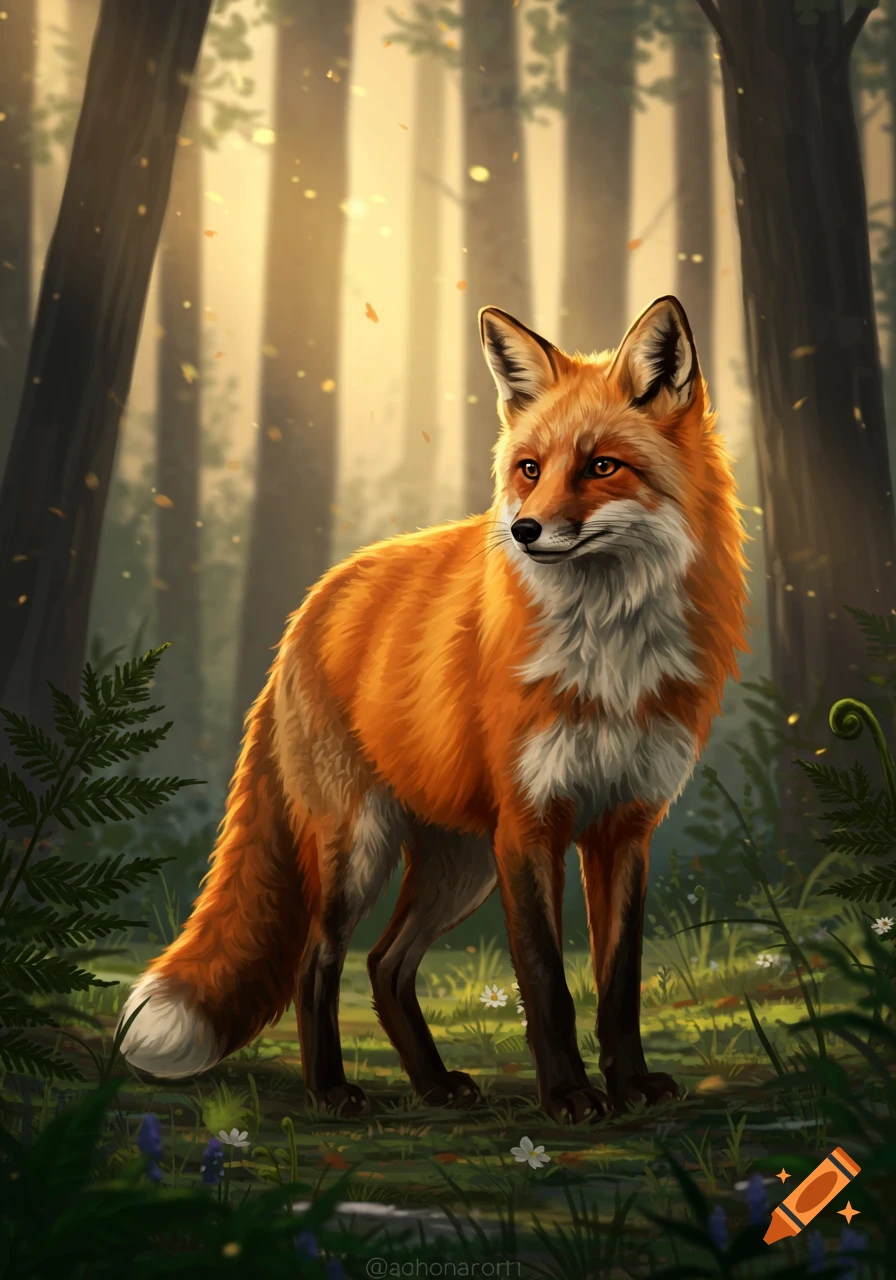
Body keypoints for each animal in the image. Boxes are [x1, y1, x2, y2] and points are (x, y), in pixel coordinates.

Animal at [119, 295, 748, 1122]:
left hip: (461, 863)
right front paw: (568, 1096)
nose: (523, 530)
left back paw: (433, 1084)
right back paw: (331, 1090)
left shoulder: (624, 824)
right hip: (361, 847)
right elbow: (547, 982)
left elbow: (618, 985)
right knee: (318, 961)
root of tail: (312, 604)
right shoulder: (531, 825)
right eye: (530, 469)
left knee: (385, 964)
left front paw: (631, 1085)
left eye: (602, 466)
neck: (608, 651)